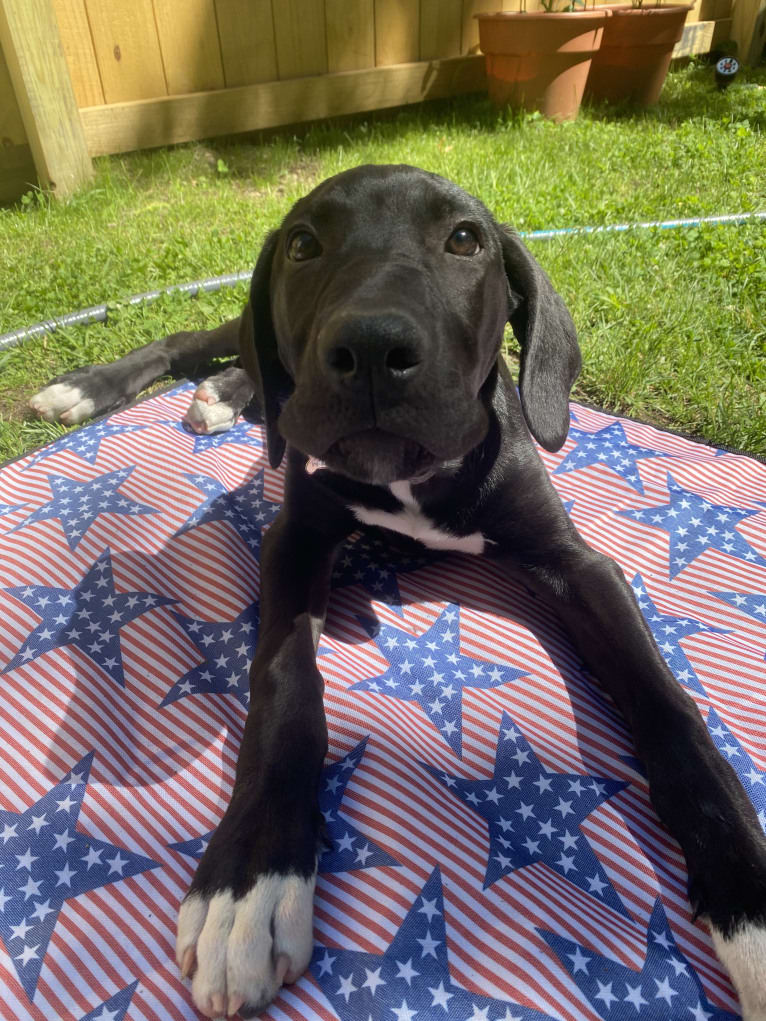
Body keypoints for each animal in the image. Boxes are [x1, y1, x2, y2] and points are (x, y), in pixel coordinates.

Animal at [30, 163, 766, 1016]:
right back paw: (95, 388)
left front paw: (747, 896)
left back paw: (226, 391)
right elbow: (283, 687)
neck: (411, 475)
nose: (373, 348)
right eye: (303, 245)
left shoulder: (579, 564)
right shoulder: (293, 542)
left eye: (465, 240)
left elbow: (672, 710)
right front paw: (251, 878)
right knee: (207, 338)